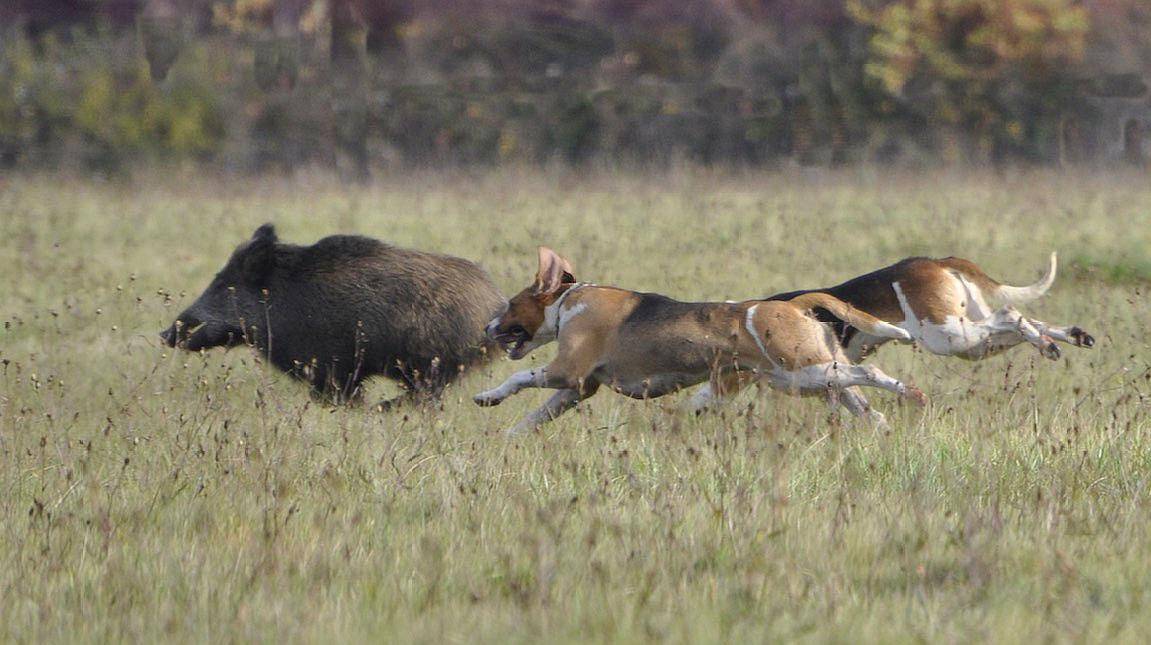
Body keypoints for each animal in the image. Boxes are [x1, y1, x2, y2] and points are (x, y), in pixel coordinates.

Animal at [469, 246, 925, 433]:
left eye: (511, 305)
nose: (488, 328)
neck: (569, 301)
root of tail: (795, 306)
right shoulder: (576, 389)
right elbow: (534, 417)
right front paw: (508, 436)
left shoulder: (565, 371)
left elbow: (519, 378)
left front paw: (487, 396)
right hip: (812, 380)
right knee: (866, 407)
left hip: (806, 372)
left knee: (872, 371)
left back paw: (912, 393)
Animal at [759, 252, 1091, 363]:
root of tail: (936, 262)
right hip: (973, 341)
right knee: (1033, 323)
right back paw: (1070, 337)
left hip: (947, 336)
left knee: (1010, 314)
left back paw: (1049, 345)